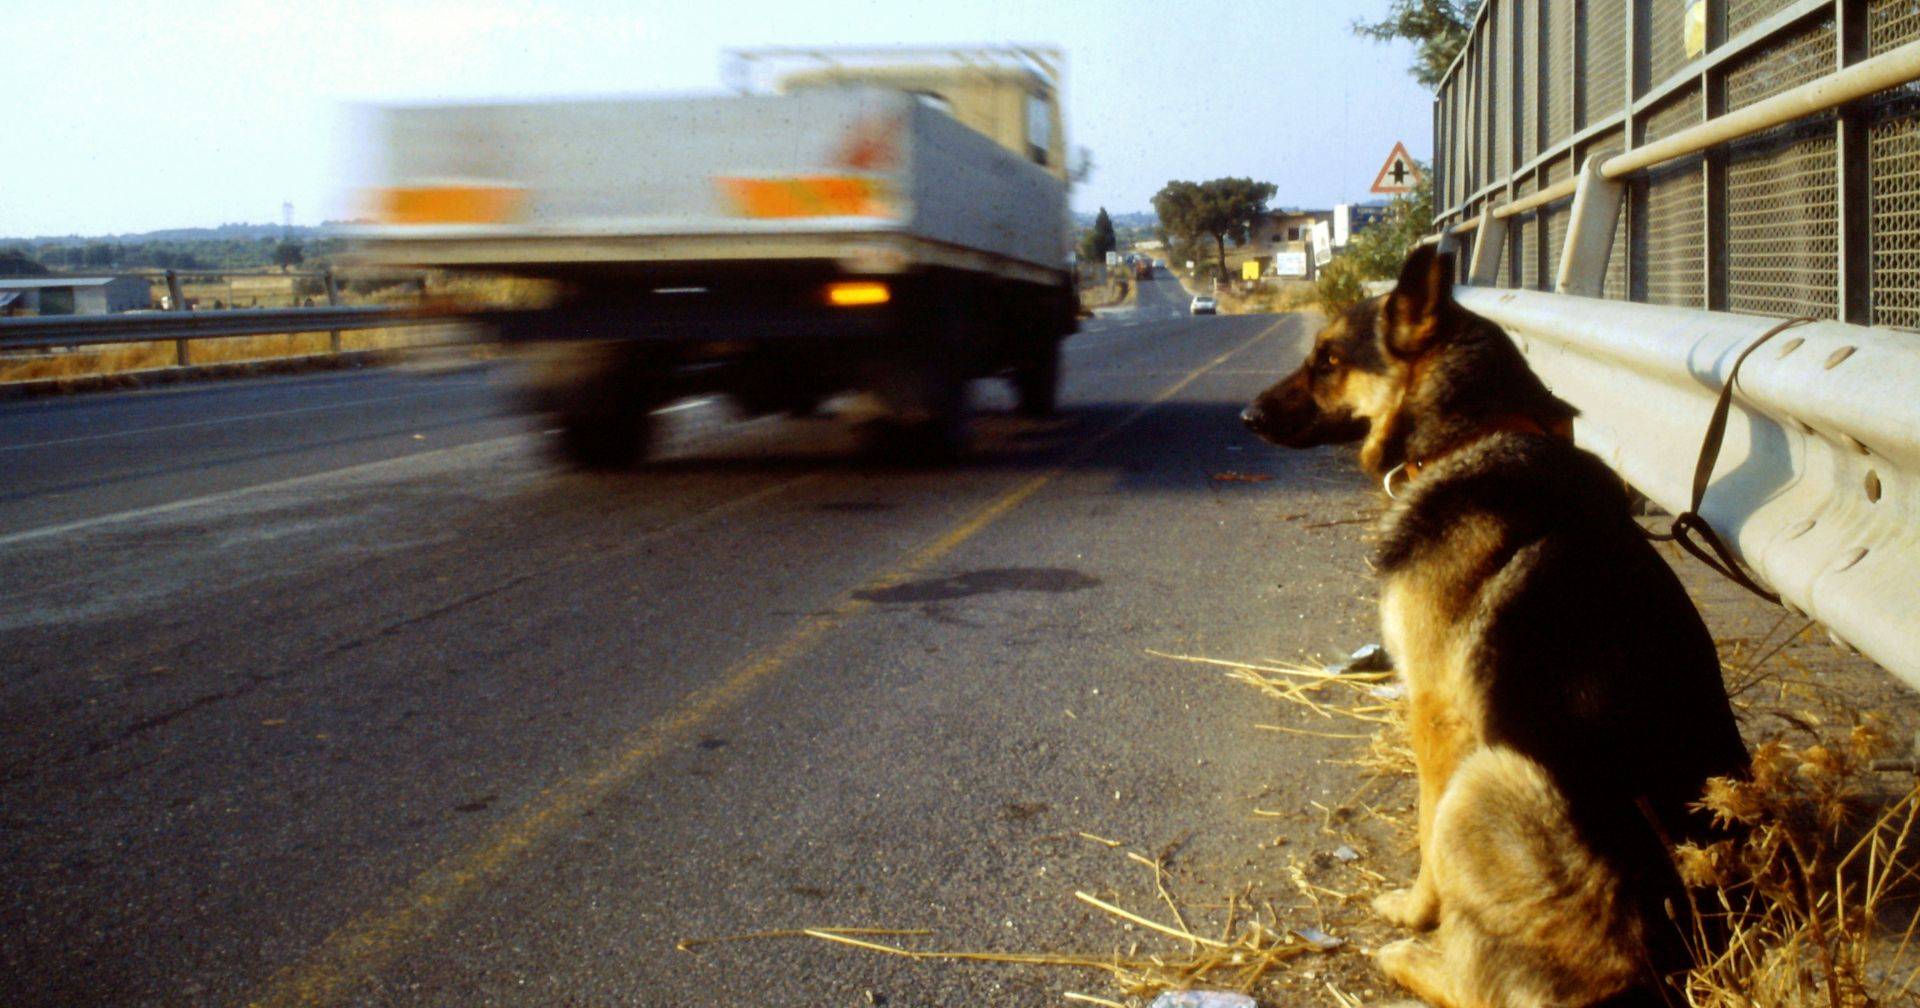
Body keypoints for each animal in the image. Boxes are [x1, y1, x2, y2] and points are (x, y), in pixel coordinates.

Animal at [1236, 245, 1751, 1006]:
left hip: (1487, 777)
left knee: (1478, 983)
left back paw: (1407, 956)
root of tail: (1664, 968)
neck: (1475, 434)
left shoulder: (1435, 715)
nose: (1247, 416)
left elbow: (1423, 833)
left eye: (1328, 360)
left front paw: (1415, 910)